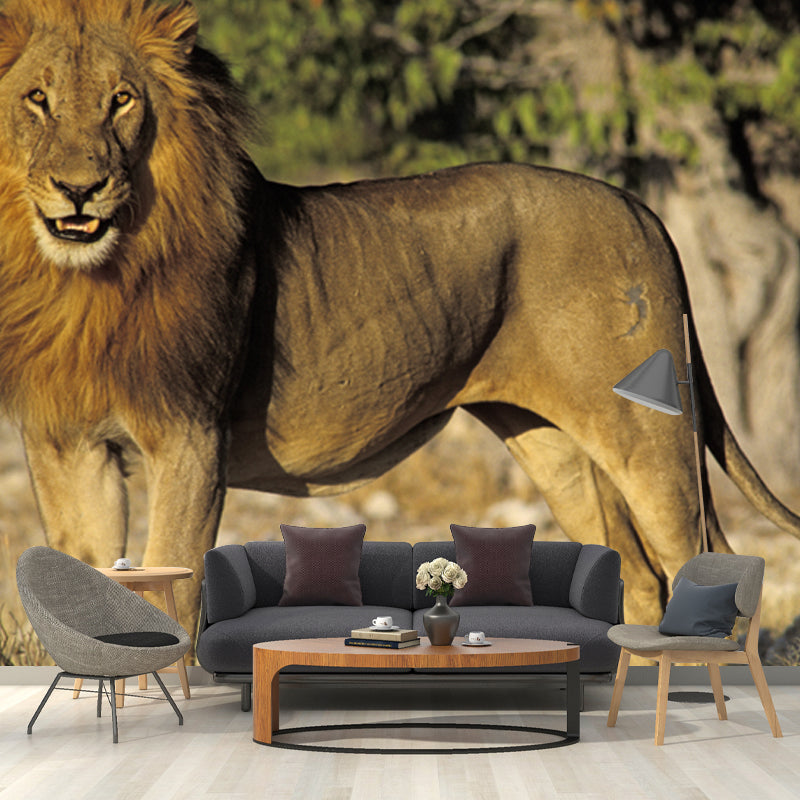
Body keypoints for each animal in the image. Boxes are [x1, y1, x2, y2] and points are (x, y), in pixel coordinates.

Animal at [2, 0, 799, 642]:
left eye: (121, 101)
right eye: (37, 99)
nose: (80, 189)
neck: (88, 280)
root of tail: (638, 206)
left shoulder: (189, 438)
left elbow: (174, 581)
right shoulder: (64, 446)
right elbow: (83, 577)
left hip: (648, 436)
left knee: (698, 561)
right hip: (554, 444)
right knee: (635, 572)